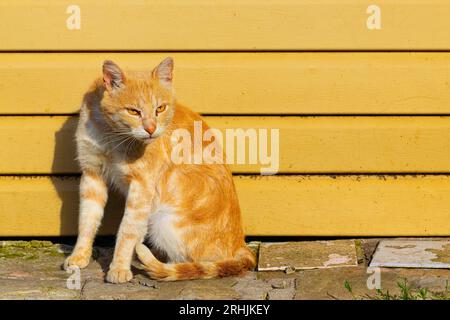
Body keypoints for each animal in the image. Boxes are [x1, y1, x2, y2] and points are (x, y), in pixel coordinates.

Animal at [62, 57, 256, 282]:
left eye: (160, 109)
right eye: (133, 111)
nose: (151, 129)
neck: (111, 135)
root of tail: (240, 244)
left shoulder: (142, 186)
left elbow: (127, 230)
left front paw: (119, 267)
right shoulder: (92, 174)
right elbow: (87, 220)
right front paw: (80, 255)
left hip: (163, 221)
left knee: (189, 263)